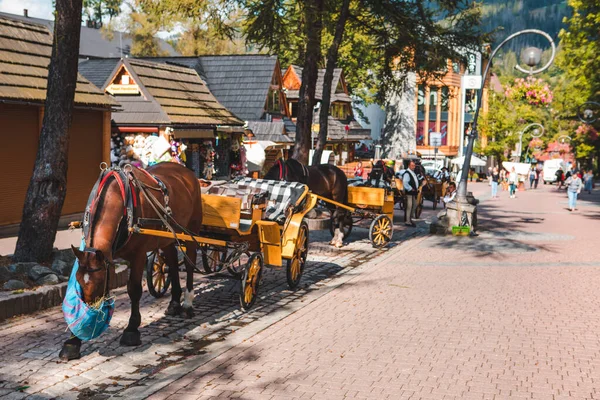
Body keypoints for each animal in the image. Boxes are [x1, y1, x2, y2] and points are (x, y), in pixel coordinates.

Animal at [59, 161, 203, 360]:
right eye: (80, 280)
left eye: (101, 282)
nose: (92, 312)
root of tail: (185, 170)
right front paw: (73, 341)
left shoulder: (139, 254)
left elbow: (134, 289)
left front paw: (132, 329)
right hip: (166, 236)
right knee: (173, 263)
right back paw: (174, 302)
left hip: (191, 230)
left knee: (189, 264)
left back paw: (187, 304)